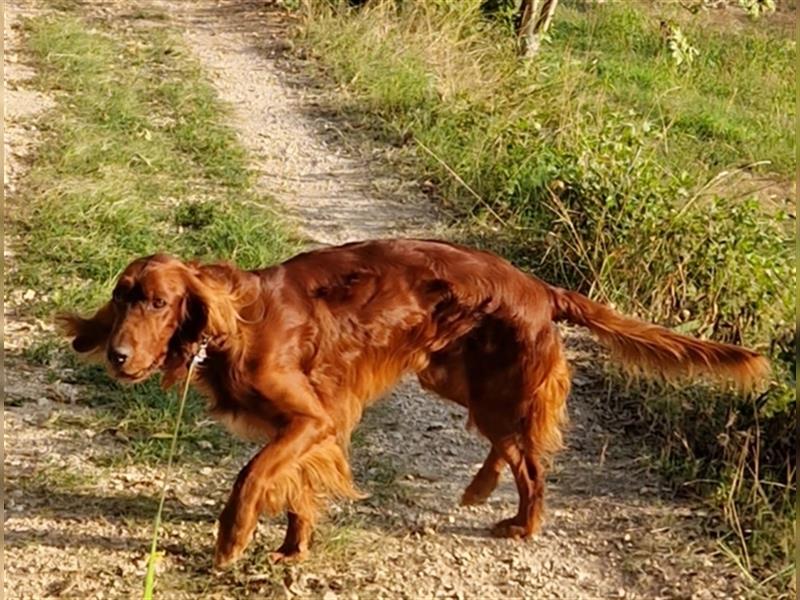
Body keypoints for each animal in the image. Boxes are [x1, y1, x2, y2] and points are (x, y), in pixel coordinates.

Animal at [61, 239, 764, 568]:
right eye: (121, 298)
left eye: (158, 302)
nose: (117, 355)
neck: (234, 329)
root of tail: (541, 287)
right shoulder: (311, 428)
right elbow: (296, 489)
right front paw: (292, 549)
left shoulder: (310, 418)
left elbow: (251, 476)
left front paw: (233, 540)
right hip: (461, 383)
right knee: (513, 448)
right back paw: (482, 492)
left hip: (493, 388)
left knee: (532, 462)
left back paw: (522, 524)